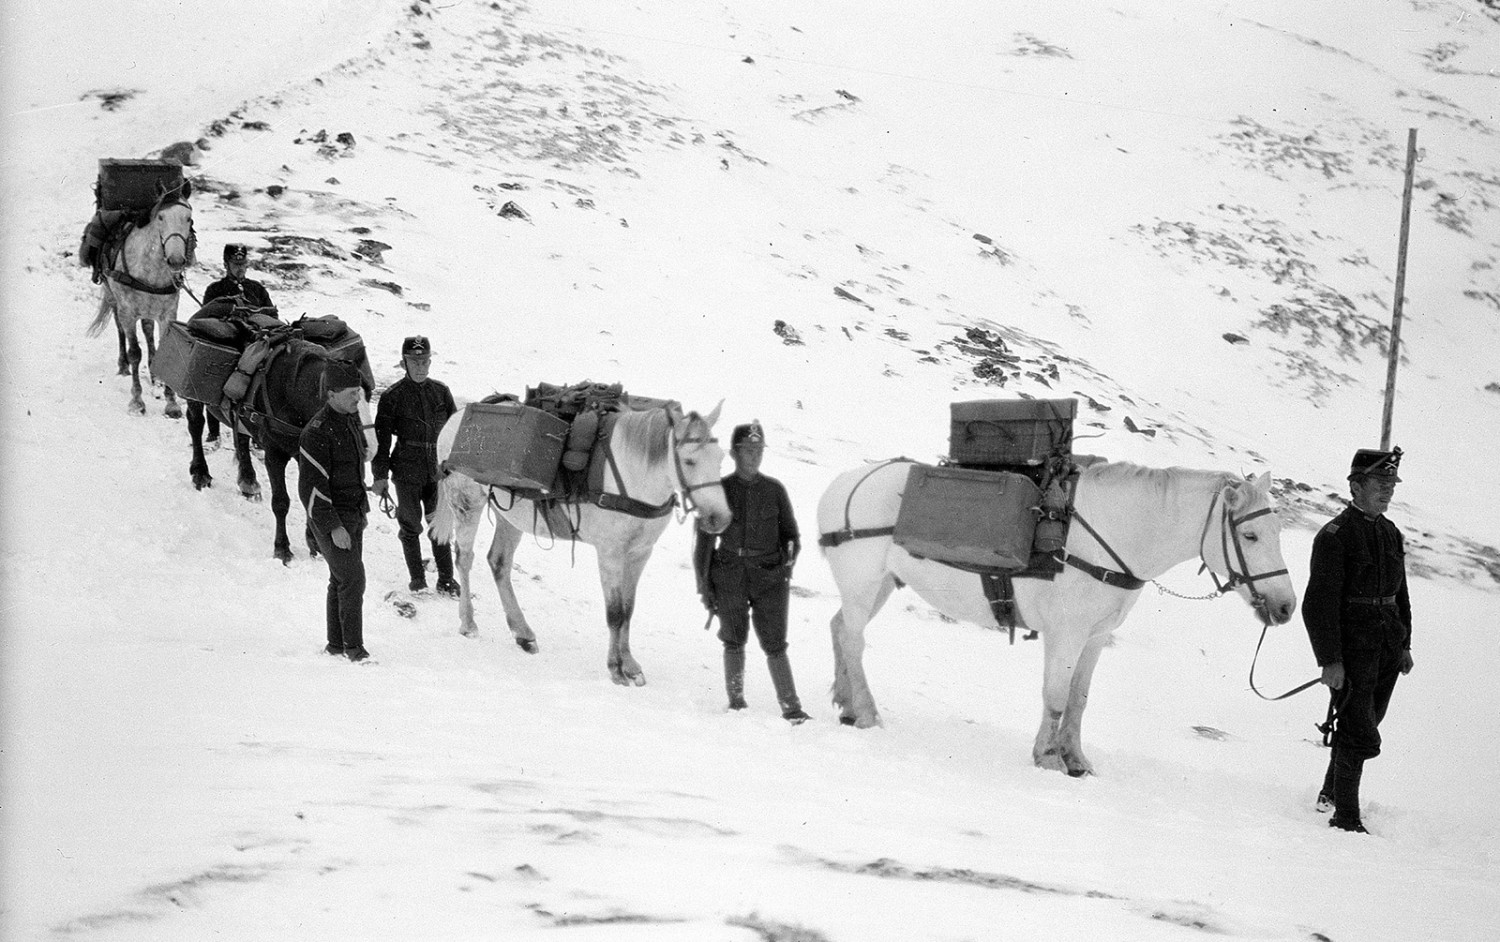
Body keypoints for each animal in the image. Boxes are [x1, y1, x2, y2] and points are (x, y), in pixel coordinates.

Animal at [84, 183, 193, 417]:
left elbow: (166, 349)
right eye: (160, 217)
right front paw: (137, 401)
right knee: (120, 329)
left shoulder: (168, 314)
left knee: (148, 330)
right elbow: (135, 352)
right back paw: (123, 365)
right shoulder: (128, 310)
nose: (176, 260)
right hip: (114, 298)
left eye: (188, 218)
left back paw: (154, 374)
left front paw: (171, 403)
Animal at [816, 459, 1296, 774]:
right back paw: (865, 713)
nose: (1286, 606)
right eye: (1250, 535)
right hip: (864, 583)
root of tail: (841, 483)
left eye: (1277, 532)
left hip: (880, 586)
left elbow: (1079, 699)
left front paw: (1076, 759)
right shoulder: (1066, 634)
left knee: (839, 629)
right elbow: (1056, 695)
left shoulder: (1096, 637)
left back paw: (845, 703)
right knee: (854, 640)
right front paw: (1047, 758)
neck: (1110, 537)